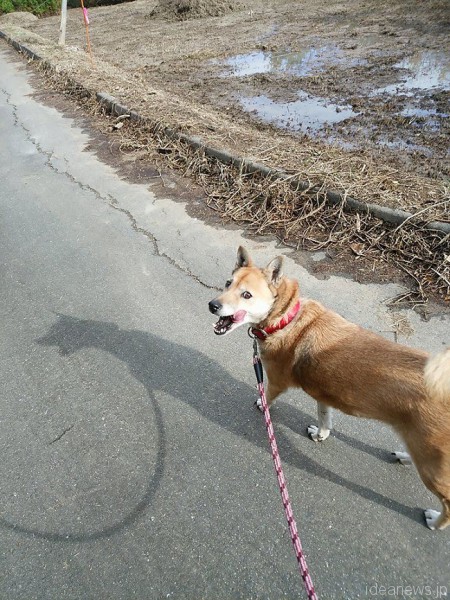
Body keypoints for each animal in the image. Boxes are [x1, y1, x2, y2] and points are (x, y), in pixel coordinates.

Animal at [209, 247, 450, 528]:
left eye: (246, 295)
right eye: (228, 283)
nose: (213, 305)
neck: (287, 318)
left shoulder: (276, 383)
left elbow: (267, 397)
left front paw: (262, 405)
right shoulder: (323, 393)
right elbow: (324, 417)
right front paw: (321, 434)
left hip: (433, 469)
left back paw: (434, 521)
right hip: (423, 449)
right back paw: (404, 456)